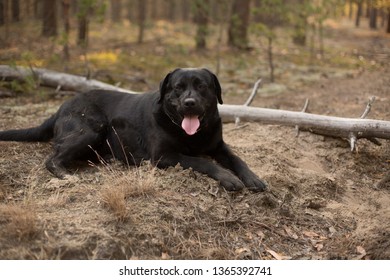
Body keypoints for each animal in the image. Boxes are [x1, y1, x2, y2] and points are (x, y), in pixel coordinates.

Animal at [0, 68, 266, 191]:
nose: (189, 103)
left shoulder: (219, 146)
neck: (192, 134)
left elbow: (238, 159)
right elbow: (202, 162)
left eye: (202, 86)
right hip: (91, 129)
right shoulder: (164, 156)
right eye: (178, 88)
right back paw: (65, 174)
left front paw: (253, 178)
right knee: (52, 158)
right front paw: (228, 178)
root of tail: (61, 107)